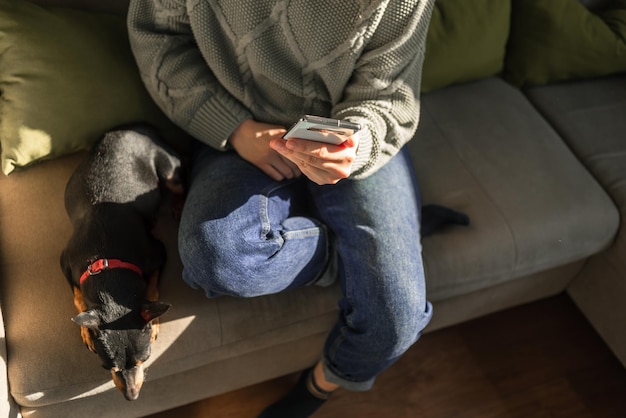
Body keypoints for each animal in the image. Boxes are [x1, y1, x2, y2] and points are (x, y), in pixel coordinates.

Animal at [59, 125, 183, 402]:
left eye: (143, 360)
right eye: (109, 368)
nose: (131, 396)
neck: (106, 264)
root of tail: (135, 127)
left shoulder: (159, 252)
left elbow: (151, 288)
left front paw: (153, 322)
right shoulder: (64, 262)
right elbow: (77, 296)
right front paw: (86, 329)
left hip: (170, 170)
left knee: (180, 184)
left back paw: (178, 205)